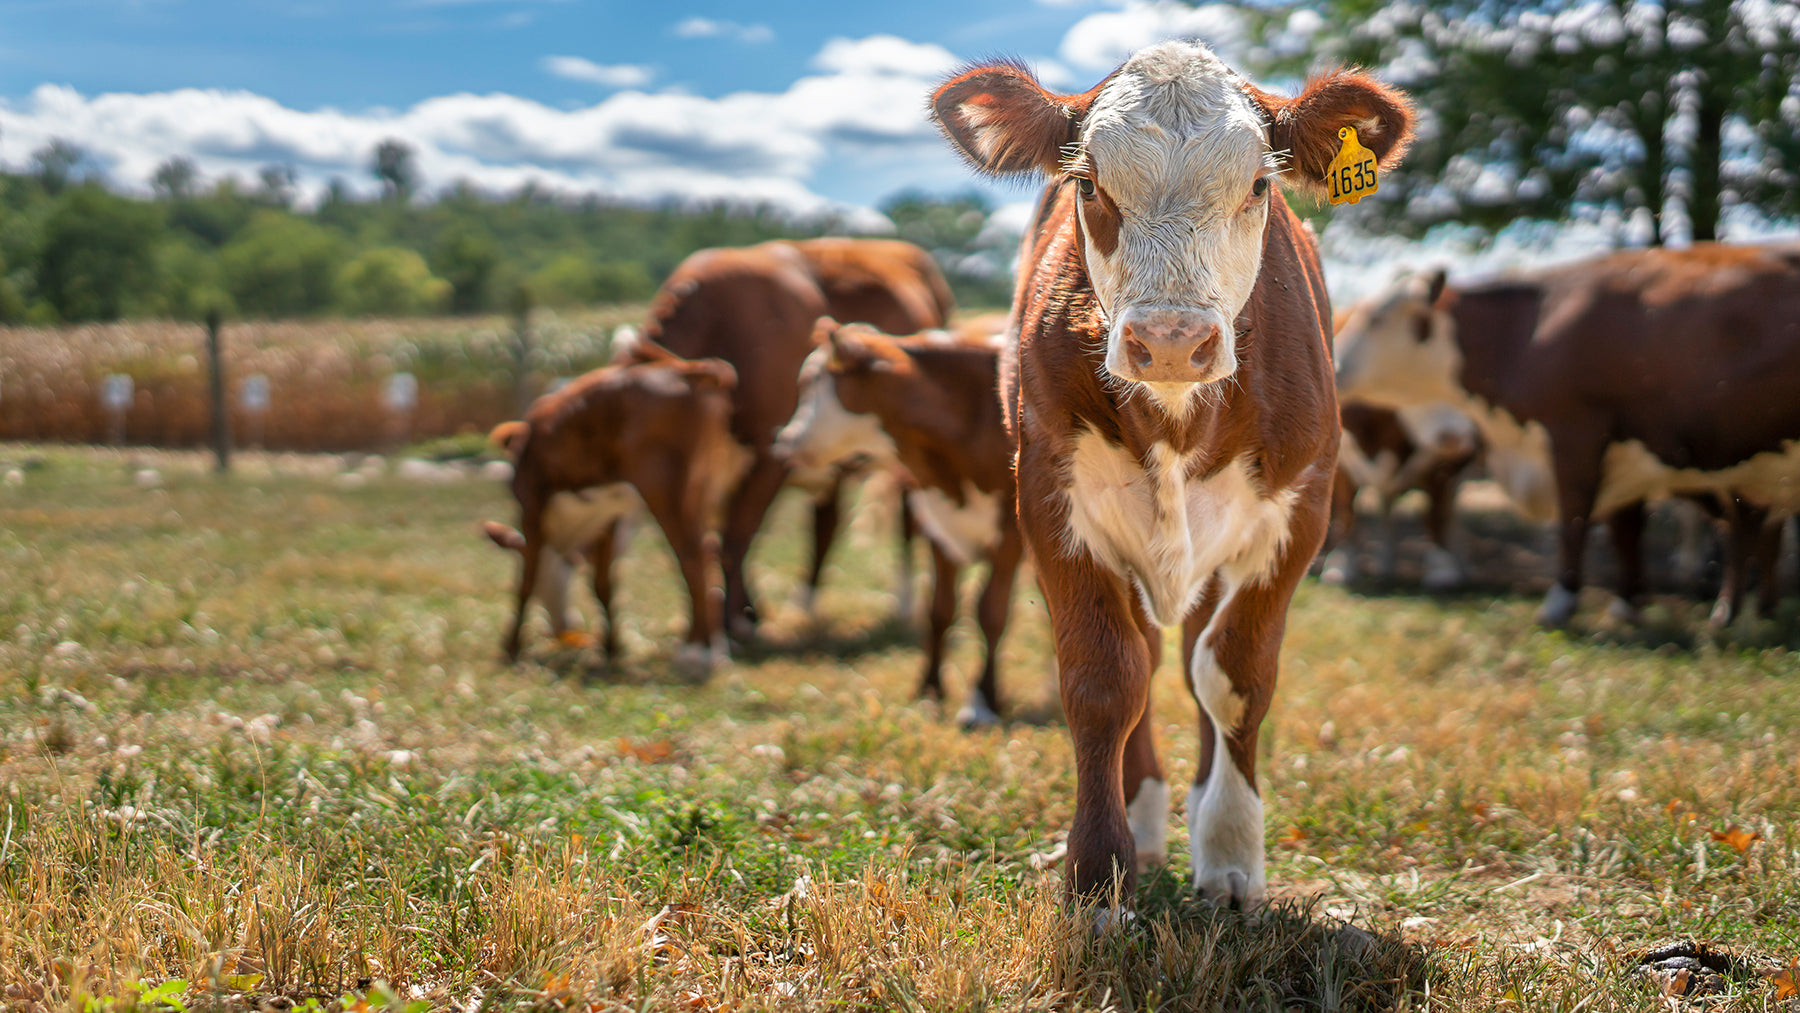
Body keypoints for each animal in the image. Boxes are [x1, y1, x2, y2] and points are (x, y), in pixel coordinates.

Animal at [482, 354, 745, 672]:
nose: (561, 628)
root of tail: (691, 370)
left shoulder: (531, 505)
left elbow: (525, 581)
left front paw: (510, 648)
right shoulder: (607, 519)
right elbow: (602, 583)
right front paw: (611, 647)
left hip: (665, 487)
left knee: (692, 558)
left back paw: (699, 653)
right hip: (702, 487)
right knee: (710, 554)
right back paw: (715, 648)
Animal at [615, 239, 956, 640]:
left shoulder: (771, 454)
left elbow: (735, 536)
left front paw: (735, 621)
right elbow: (716, 540)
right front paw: (745, 611)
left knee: (906, 521)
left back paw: (902, 604)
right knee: (826, 524)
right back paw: (804, 604)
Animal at [774, 317, 1021, 727]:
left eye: (810, 383)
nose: (783, 443)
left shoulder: (1012, 537)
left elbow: (992, 613)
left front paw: (981, 702)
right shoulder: (937, 522)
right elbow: (939, 610)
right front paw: (930, 689)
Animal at [931, 41, 1413, 907]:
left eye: (1259, 183)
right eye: (1089, 182)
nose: (1170, 340)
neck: (1178, 420)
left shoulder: (1301, 511)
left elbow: (1235, 677)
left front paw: (1230, 856)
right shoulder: (1050, 506)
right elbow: (1104, 680)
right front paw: (1099, 873)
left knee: (1195, 656)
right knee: (1148, 661)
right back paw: (1148, 816)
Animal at [1320, 401, 1481, 589]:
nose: (1462, 439)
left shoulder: (1440, 471)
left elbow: (1436, 517)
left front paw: (1442, 570)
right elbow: (1345, 513)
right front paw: (1339, 565)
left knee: (1449, 515)